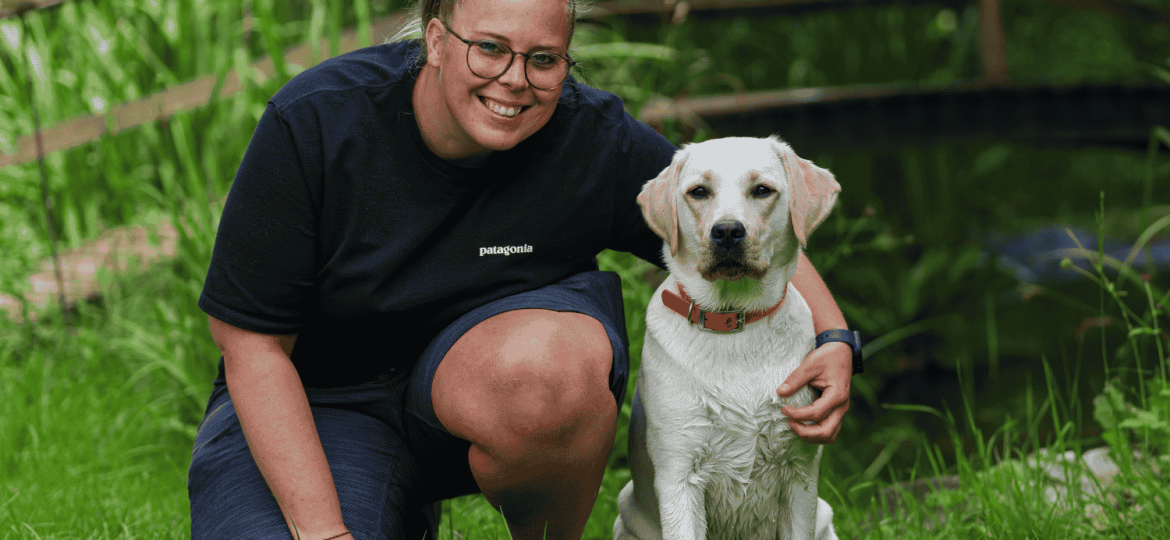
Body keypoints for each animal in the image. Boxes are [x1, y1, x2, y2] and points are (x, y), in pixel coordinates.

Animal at [613, 136, 842, 540]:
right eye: (699, 192)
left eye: (762, 190)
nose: (727, 232)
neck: (734, 322)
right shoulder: (679, 474)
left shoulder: (799, 474)